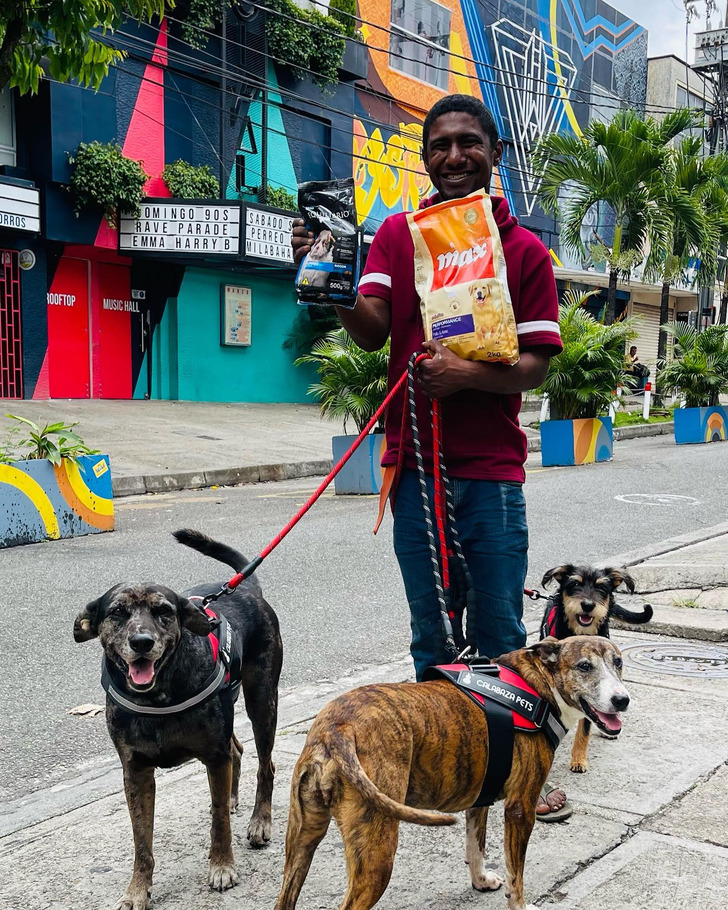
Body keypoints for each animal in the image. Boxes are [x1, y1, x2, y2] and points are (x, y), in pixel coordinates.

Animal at [74, 532, 282, 908]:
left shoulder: (214, 754)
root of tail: (245, 587)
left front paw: (222, 867)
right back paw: (234, 797)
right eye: (117, 612)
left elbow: (218, 821)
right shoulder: (135, 771)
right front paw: (138, 888)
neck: (157, 696)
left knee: (265, 764)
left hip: (262, 698)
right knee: (237, 750)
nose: (142, 642)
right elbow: (141, 841)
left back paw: (260, 821)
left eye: (164, 612)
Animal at [276, 636, 628, 910]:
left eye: (619, 663)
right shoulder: (520, 809)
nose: (621, 699)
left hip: (301, 841)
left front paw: (480, 880)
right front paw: (519, 903)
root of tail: (336, 728)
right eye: (584, 666)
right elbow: (516, 873)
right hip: (376, 853)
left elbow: (475, 847)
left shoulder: (480, 798)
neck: (539, 683)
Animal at [536, 568, 652, 772]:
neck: (579, 632)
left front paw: (578, 759)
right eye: (575, 584)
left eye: (602, 588)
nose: (588, 605)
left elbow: (585, 728)